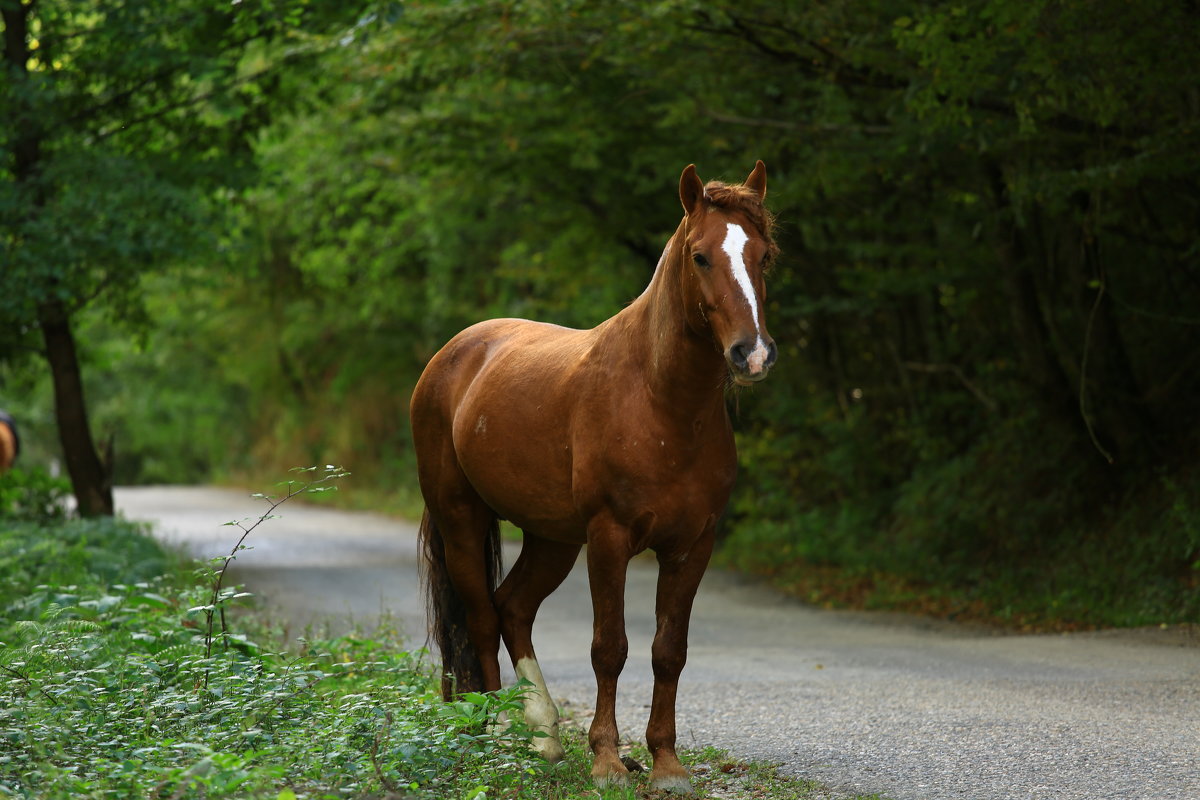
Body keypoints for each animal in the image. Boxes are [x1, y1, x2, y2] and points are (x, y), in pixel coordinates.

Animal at [410, 160, 777, 796]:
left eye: (764, 255)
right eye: (701, 256)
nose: (751, 354)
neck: (659, 404)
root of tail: (454, 353)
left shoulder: (692, 545)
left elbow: (668, 650)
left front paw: (665, 764)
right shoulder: (609, 538)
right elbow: (610, 647)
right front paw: (607, 760)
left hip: (552, 539)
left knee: (512, 608)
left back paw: (543, 733)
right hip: (462, 519)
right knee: (481, 616)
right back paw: (497, 735)